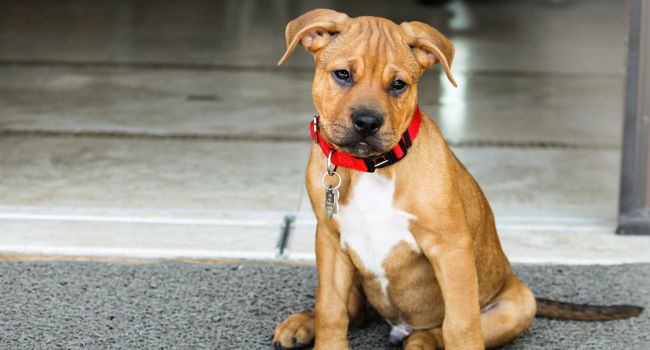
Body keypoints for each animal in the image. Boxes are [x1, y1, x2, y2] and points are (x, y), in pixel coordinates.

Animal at [270, 8, 640, 350]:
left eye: (398, 85)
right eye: (343, 75)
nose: (367, 122)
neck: (370, 168)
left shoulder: (450, 248)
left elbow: (461, 326)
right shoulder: (330, 241)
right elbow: (331, 309)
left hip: (519, 304)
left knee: (440, 330)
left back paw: (419, 341)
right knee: (354, 313)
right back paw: (301, 323)